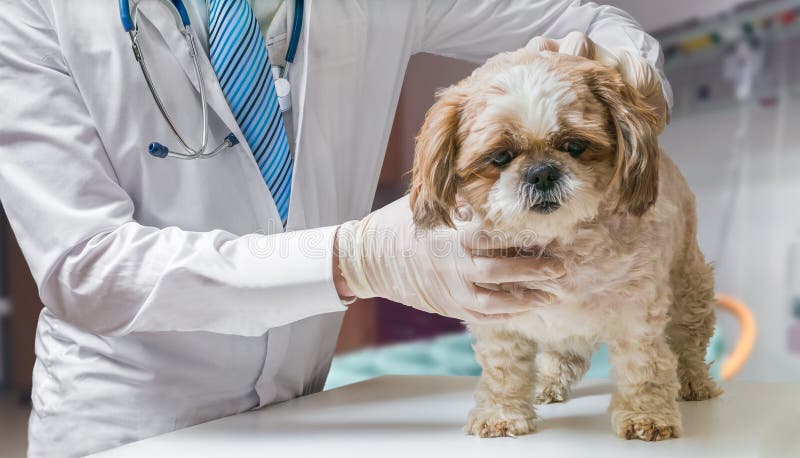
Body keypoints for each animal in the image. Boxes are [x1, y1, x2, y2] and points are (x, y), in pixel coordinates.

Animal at [410, 34, 720, 442]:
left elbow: (644, 365)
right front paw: (501, 414)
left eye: (575, 146)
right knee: (564, 353)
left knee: (688, 343)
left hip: (690, 289)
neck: (559, 243)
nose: (542, 172)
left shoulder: (637, 310)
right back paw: (548, 382)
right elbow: (503, 370)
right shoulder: (497, 316)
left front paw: (647, 415)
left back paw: (695, 382)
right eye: (500, 157)